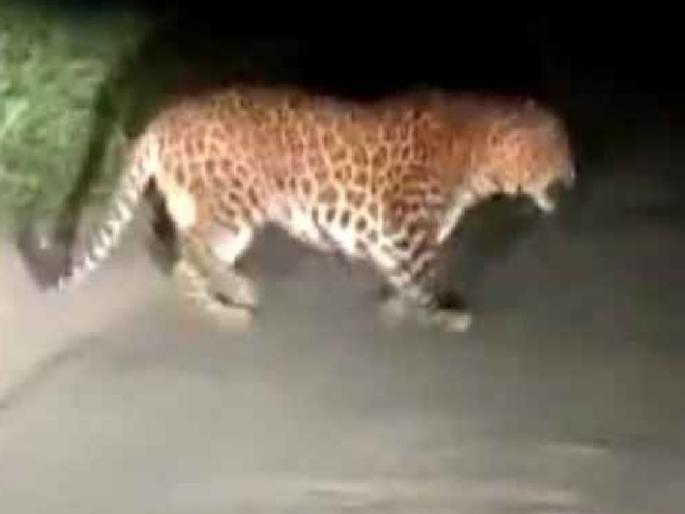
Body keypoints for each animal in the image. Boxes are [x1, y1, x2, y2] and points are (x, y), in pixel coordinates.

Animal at [47, 85, 575, 332]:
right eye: (557, 148)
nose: (573, 174)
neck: (477, 159)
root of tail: (163, 118)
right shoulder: (405, 227)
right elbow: (423, 275)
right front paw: (442, 315)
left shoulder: (394, 236)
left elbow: (403, 277)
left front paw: (397, 307)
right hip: (233, 204)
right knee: (193, 248)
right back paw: (239, 289)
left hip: (206, 209)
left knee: (183, 267)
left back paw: (225, 312)